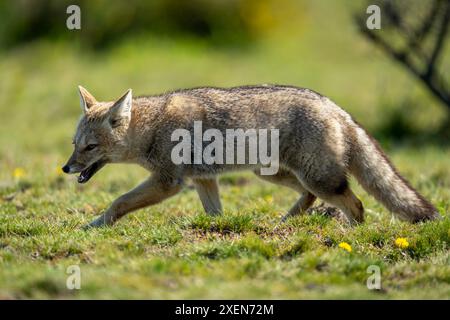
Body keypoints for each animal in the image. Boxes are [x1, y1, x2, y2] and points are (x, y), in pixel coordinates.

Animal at [62, 85, 440, 228]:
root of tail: (334, 105)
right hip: (271, 174)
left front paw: (96, 224)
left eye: (89, 148)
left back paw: (352, 234)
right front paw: (219, 229)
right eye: (73, 143)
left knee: (356, 204)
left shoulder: (169, 182)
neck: (152, 126)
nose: (65, 168)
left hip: (317, 178)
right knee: (309, 196)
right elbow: (214, 213)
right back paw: (285, 222)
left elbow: (119, 201)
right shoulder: (203, 179)